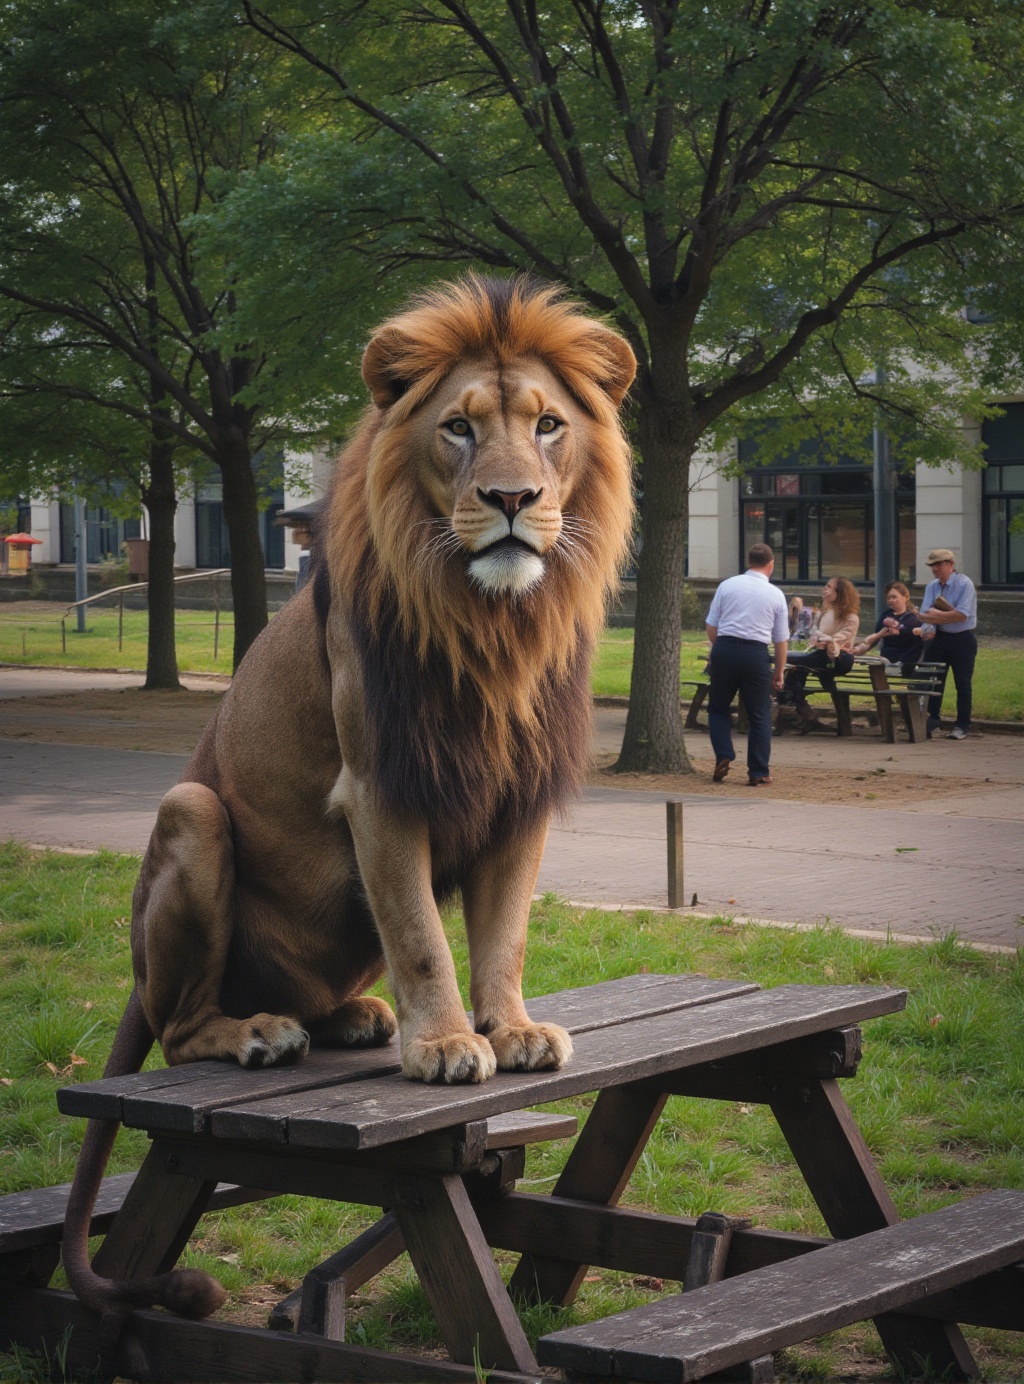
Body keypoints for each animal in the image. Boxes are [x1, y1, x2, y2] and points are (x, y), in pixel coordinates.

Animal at [62, 273, 636, 1320]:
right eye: (459, 428)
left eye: (548, 426)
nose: (511, 499)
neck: (492, 627)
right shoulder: (380, 790)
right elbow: (421, 935)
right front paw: (444, 1044)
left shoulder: (518, 798)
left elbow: (503, 933)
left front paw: (513, 1028)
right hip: (191, 813)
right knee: (178, 1028)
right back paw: (259, 1035)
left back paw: (351, 1018)